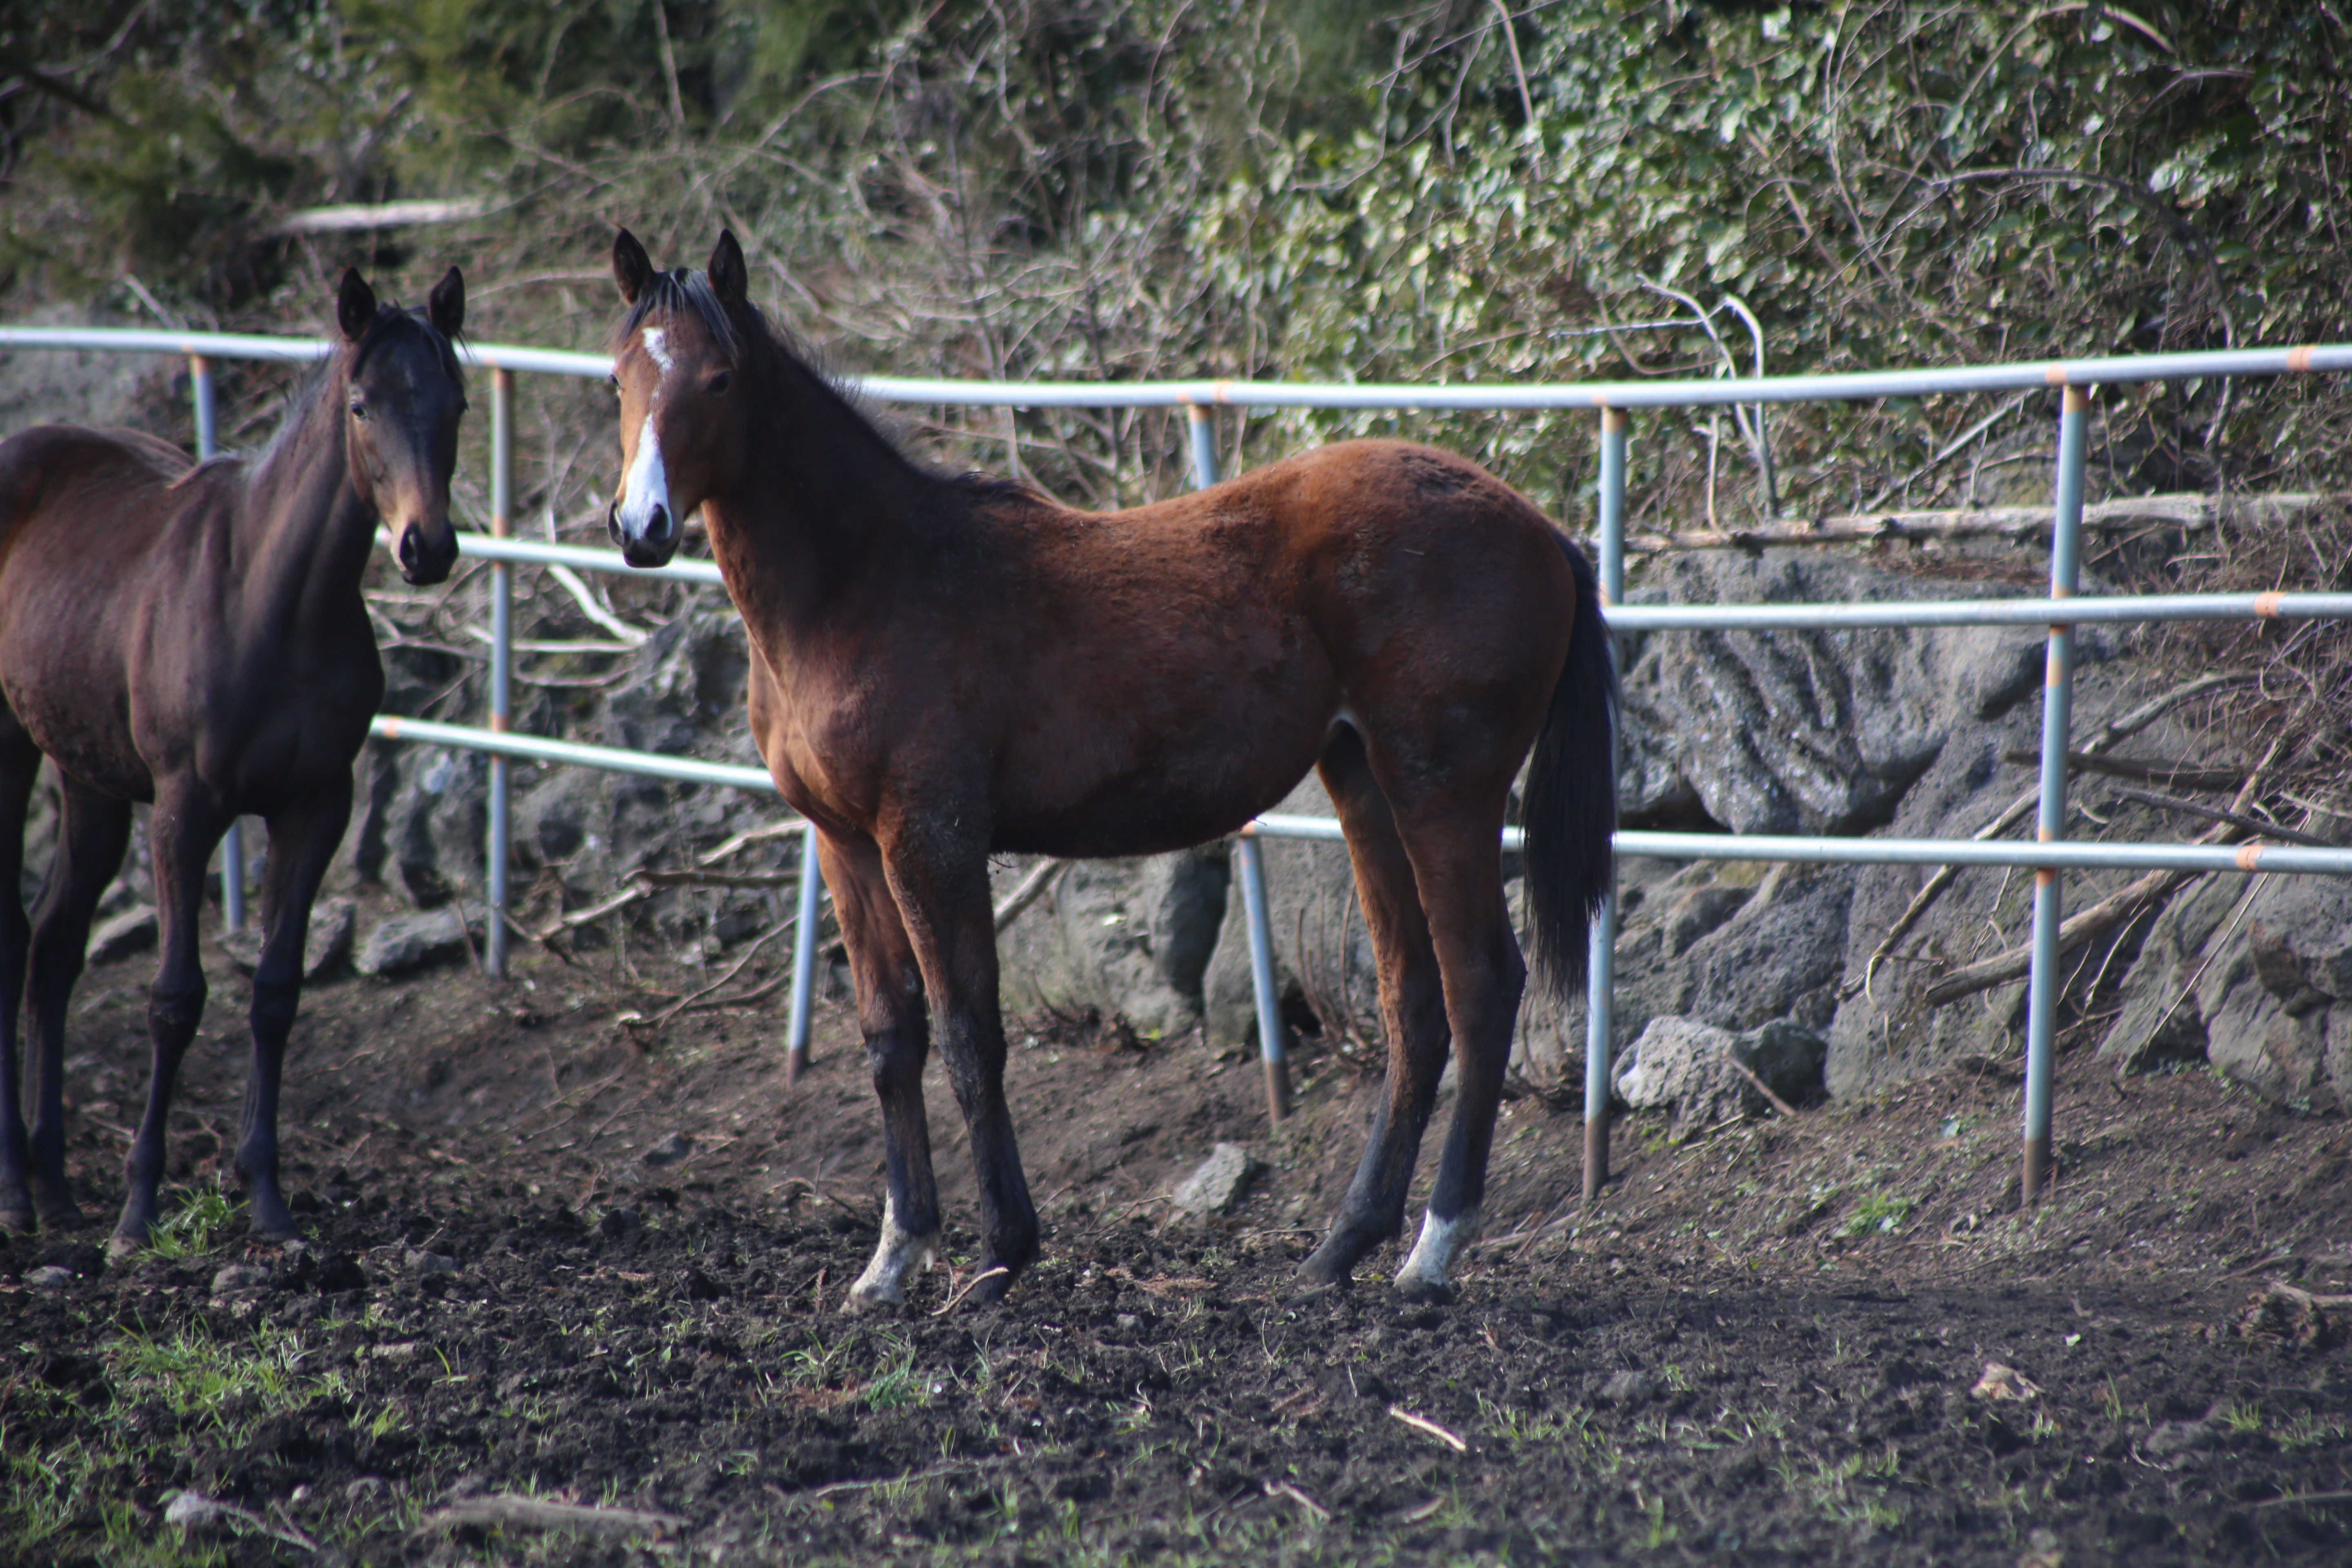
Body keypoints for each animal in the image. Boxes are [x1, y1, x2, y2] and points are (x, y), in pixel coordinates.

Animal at [0, 267, 468, 1250]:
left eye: (456, 402)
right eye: (362, 405)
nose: (427, 547)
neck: (273, 601)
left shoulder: (315, 808)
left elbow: (277, 994)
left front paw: (269, 1202)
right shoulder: (187, 809)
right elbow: (176, 1000)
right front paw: (139, 1210)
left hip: (89, 779)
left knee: (54, 948)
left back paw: (56, 1189)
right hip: (9, 747)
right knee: (17, 940)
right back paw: (19, 1191)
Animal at [602, 230, 1618, 1316]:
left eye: (718, 377)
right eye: (621, 376)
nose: (641, 526)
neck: (866, 582)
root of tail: (1541, 531)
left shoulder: (931, 839)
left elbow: (969, 1036)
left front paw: (1000, 1254)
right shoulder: (845, 846)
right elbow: (890, 1038)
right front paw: (893, 1259)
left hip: (1444, 794)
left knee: (1480, 987)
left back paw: (1431, 1250)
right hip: (1366, 787)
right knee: (1412, 1004)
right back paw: (1339, 1250)